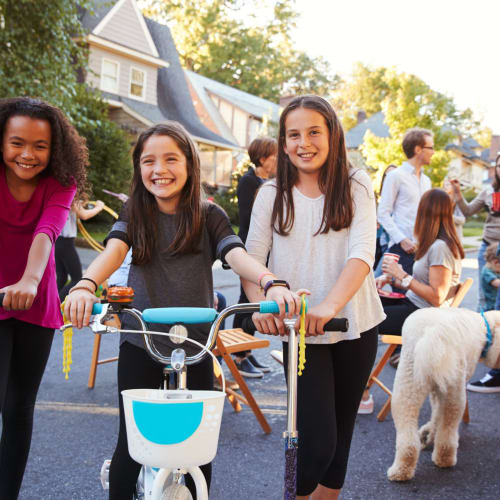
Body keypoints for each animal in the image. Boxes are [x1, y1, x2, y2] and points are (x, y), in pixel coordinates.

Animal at [386, 306, 500, 482]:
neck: (485, 327)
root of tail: (435, 333)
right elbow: (436, 415)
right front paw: (428, 434)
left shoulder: (438, 387)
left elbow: (436, 415)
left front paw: (427, 435)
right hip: (450, 389)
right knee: (447, 426)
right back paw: (442, 459)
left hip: (410, 389)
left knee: (416, 438)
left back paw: (404, 470)